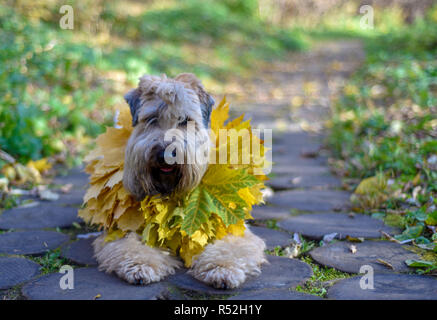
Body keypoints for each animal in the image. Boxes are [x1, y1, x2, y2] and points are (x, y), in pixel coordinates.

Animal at [91, 74, 266, 288]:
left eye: (185, 120)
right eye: (152, 119)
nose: (166, 154)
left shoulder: (230, 226)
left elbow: (229, 248)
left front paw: (222, 269)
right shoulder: (124, 228)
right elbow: (131, 245)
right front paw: (141, 265)